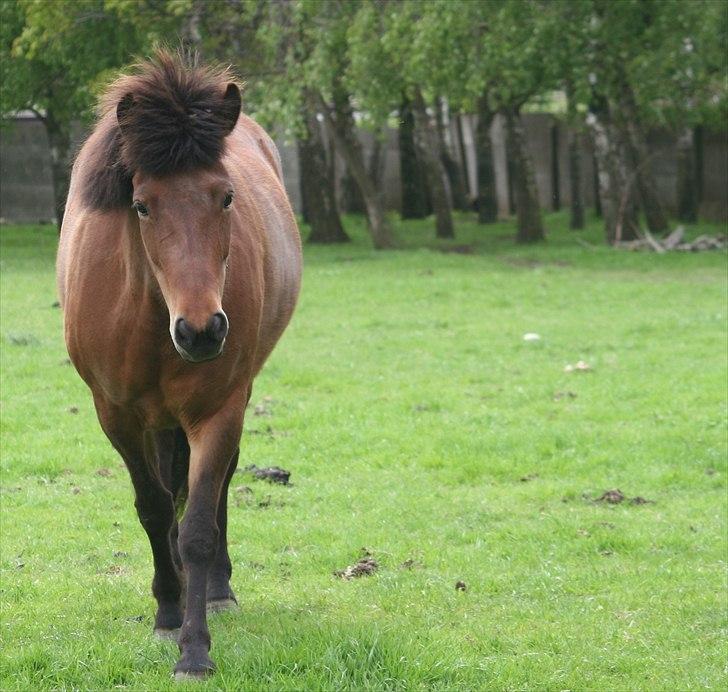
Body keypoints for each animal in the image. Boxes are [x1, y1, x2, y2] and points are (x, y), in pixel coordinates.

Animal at [56, 51, 302, 680]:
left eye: (227, 197)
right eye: (142, 204)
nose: (202, 330)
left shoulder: (218, 409)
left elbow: (195, 524)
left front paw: (195, 647)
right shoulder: (115, 414)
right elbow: (152, 508)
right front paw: (168, 613)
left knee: (213, 491)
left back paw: (216, 586)